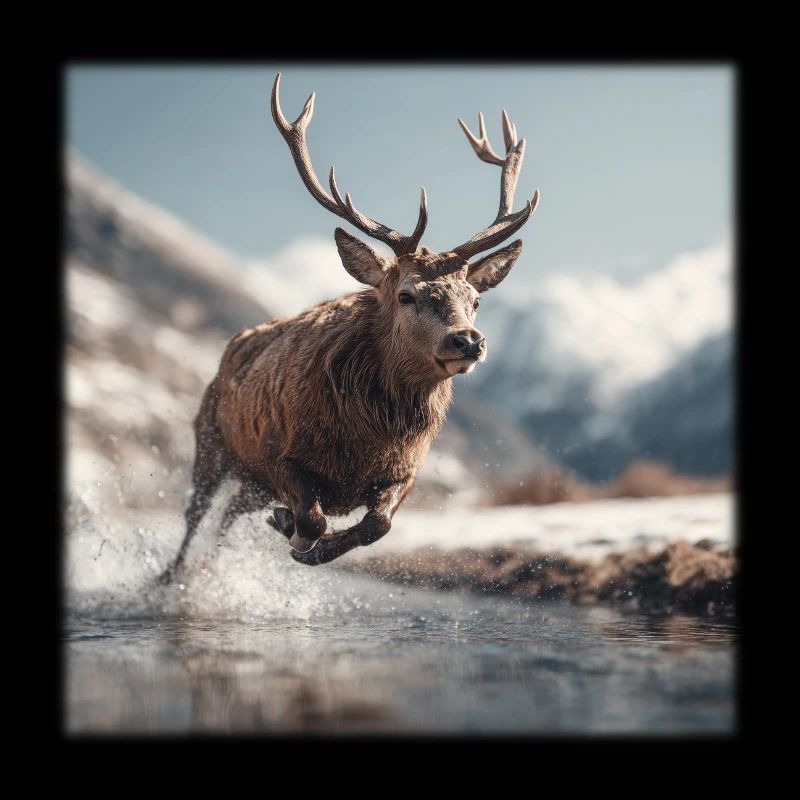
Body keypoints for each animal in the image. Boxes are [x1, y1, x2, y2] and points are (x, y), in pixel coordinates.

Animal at [159, 73, 539, 583]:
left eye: (475, 300)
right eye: (406, 294)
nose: (468, 340)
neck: (365, 443)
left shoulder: (405, 473)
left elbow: (377, 525)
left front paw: (305, 542)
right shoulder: (279, 451)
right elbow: (313, 518)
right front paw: (295, 533)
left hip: (249, 482)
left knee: (227, 517)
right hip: (212, 441)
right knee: (195, 514)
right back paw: (170, 578)